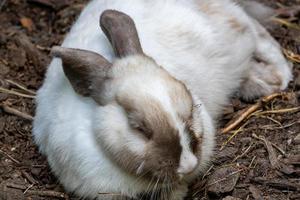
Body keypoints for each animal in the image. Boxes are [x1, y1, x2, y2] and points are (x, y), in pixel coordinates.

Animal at [33, 0, 292, 200]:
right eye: (139, 128)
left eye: (190, 109)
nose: (188, 165)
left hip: (236, 29)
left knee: (261, 35)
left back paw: (279, 79)